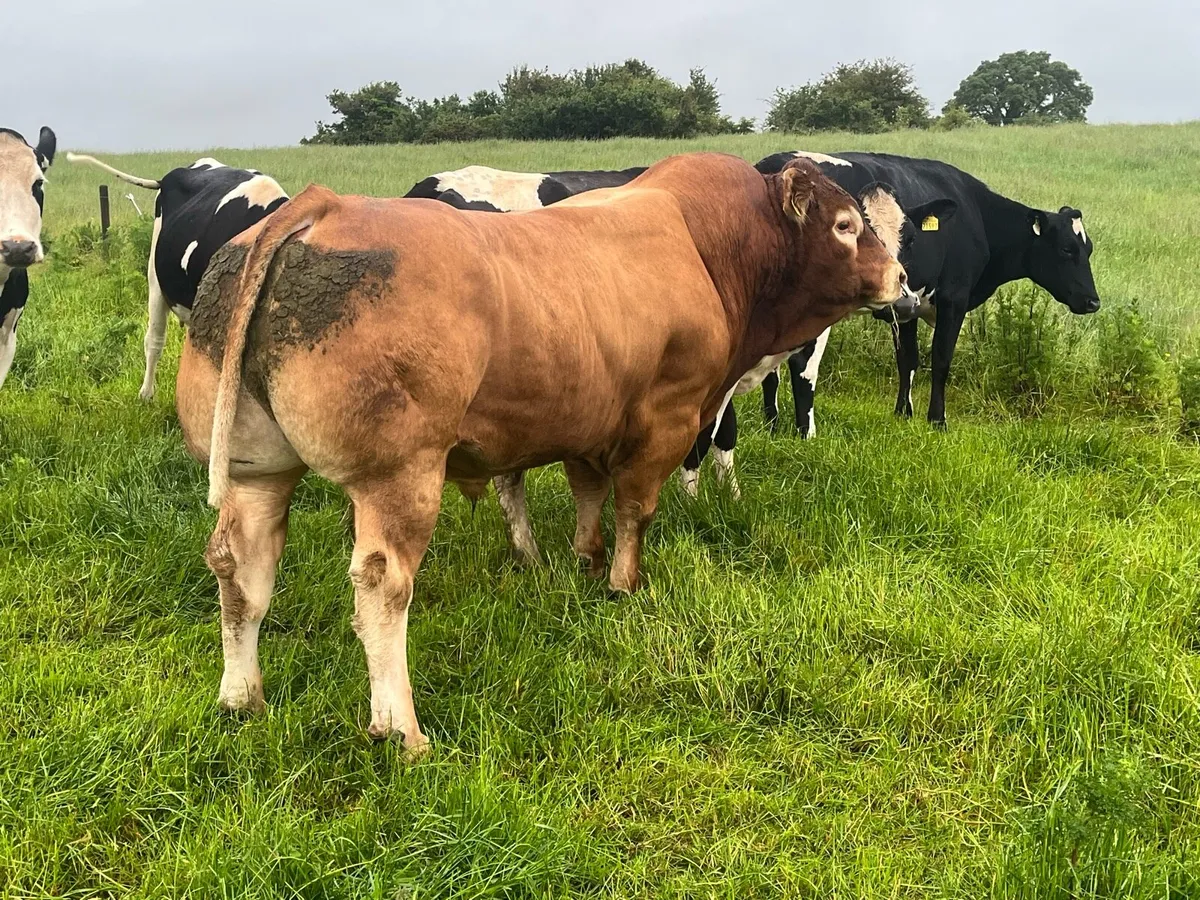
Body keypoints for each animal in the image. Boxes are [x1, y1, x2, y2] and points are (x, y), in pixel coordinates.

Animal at [176, 153, 908, 747]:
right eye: (846, 226)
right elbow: (635, 508)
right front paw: (622, 583)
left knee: (240, 568)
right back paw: (402, 730)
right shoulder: (665, 419)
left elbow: (589, 494)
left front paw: (584, 564)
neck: (710, 245)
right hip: (401, 475)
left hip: (257, 469)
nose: (901, 279)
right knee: (382, 587)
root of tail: (321, 205)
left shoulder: (591, 418)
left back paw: (242, 698)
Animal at [753, 150, 1101, 431]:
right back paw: (804, 432)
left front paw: (903, 414)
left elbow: (907, 359)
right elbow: (941, 358)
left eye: (1088, 249)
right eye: (1067, 249)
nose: (1093, 302)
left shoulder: (907, 306)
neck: (976, 215)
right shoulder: (953, 300)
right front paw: (937, 421)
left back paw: (772, 425)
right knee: (803, 368)